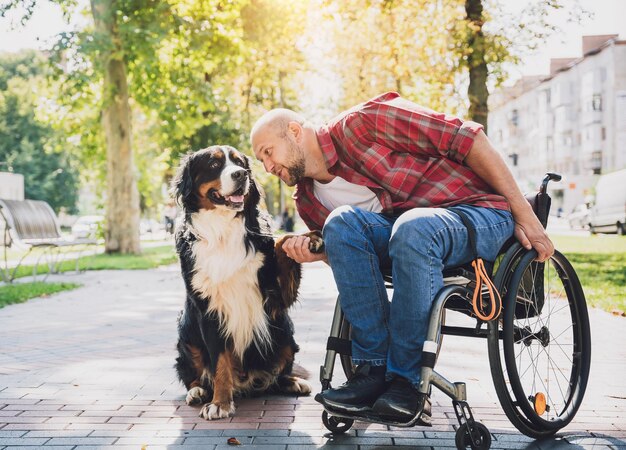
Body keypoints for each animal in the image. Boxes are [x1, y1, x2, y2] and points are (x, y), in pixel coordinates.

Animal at [169, 146, 322, 420]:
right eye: (213, 164)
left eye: (240, 163)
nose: (241, 175)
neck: (223, 231)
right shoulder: (209, 309)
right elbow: (219, 362)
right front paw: (220, 403)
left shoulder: (275, 298)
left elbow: (282, 241)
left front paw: (308, 238)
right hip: (186, 333)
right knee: (192, 374)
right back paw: (197, 392)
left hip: (284, 331)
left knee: (278, 375)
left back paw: (293, 382)